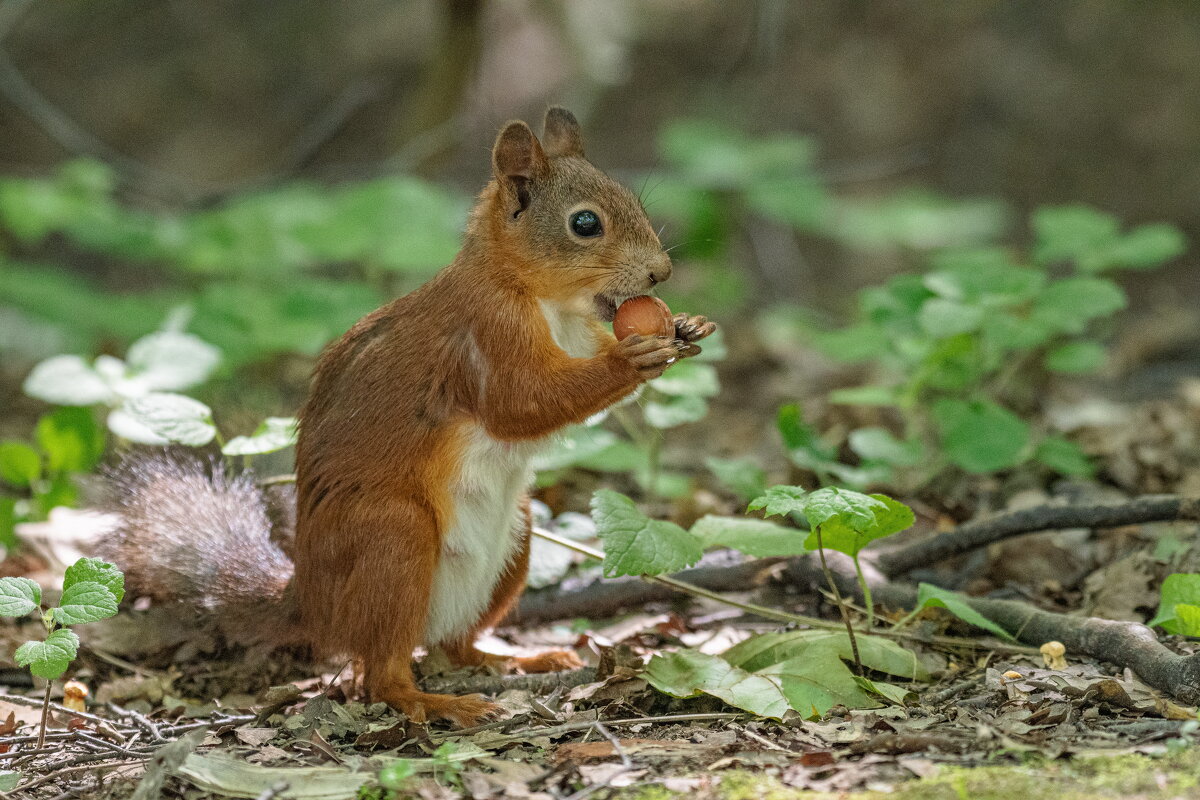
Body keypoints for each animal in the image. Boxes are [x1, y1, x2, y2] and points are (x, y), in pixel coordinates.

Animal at [100, 109, 710, 729]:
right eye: (585, 223)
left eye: (632, 200)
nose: (661, 273)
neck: (540, 297)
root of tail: (311, 604)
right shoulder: (485, 339)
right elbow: (522, 404)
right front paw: (630, 359)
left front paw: (685, 328)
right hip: (392, 537)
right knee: (381, 675)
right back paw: (433, 700)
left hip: (513, 538)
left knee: (454, 645)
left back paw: (519, 659)